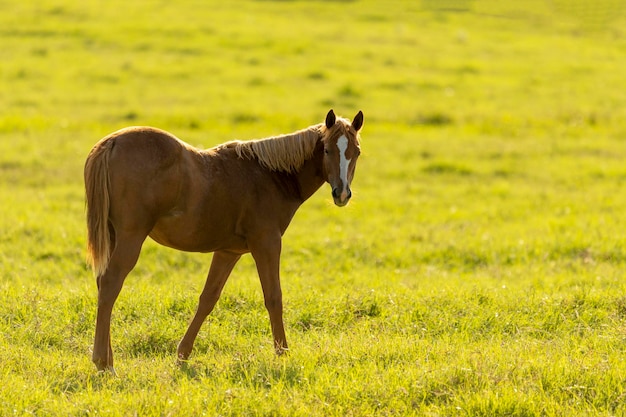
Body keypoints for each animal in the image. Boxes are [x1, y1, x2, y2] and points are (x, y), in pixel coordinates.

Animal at [85, 108, 364, 370]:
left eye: (357, 152)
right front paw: (282, 353)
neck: (271, 176)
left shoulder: (228, 252)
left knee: (103, 285)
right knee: (110, 283)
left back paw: (108, 358)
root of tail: (112, 142)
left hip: (113, 236)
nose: (342, 194)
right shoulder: (267, 243)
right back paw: (103, 363)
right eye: (327, 150)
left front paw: (182, 355)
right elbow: (274, 297)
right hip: (131, 236)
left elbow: (208, 298)